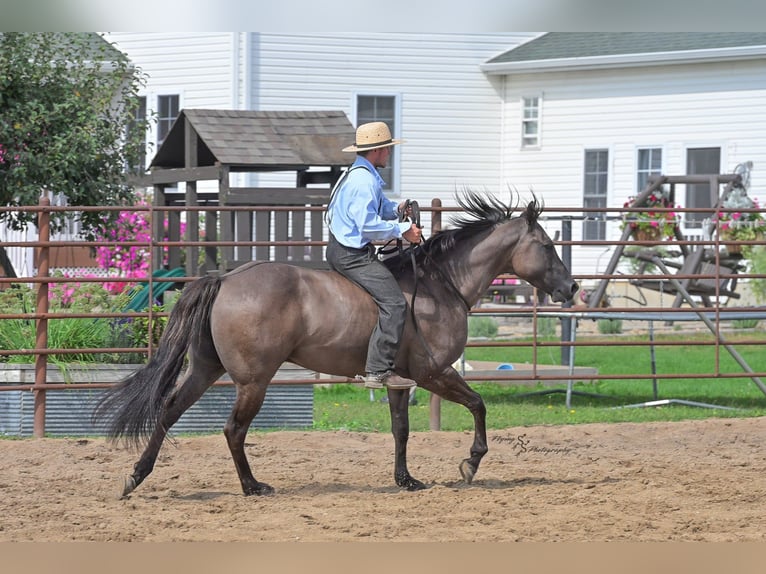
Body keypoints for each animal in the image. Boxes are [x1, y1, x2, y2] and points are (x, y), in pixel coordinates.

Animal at [94, 190, 578, 497]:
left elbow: (401, 430)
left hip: (205, 369)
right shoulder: (432, 373)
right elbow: (478, 405)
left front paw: (406, 480)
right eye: (546, 244)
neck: (440, 284)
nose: (571, 287)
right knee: (233, 430)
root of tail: (225, 279)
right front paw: (470, 463)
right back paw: (252, 487)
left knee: (168, 412)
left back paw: (135, 477)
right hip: (253, 382)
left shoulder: (401, 381)